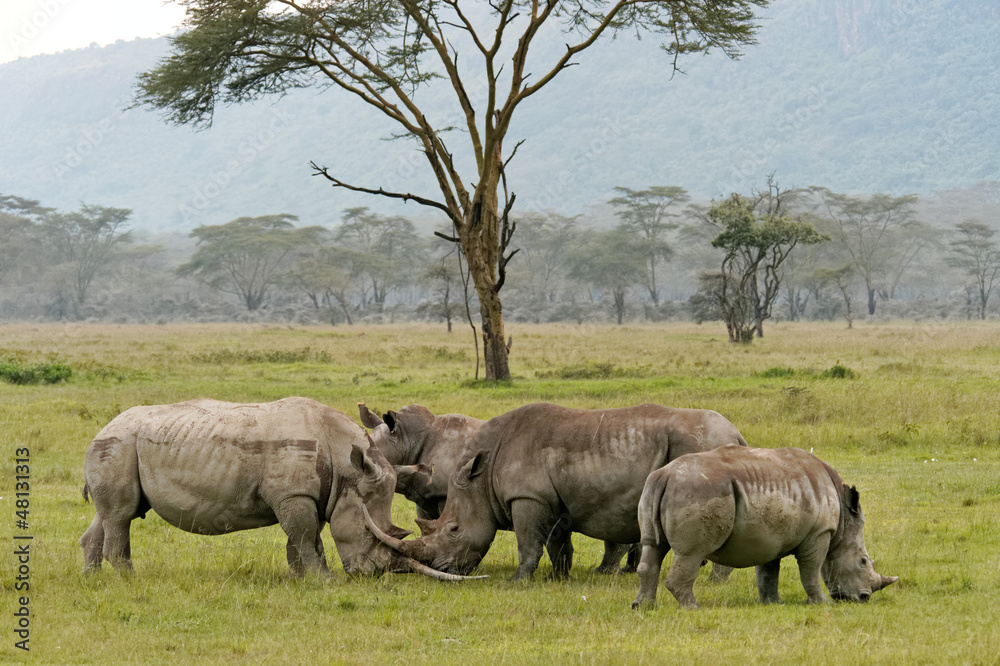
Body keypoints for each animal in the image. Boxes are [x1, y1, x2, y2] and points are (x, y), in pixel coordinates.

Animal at [80, 397, 478, 581]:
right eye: (370, 534)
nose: (374, 574)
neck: (348, 464)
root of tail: (101, 429)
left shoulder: (314, 495)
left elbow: (306, 538)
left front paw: (300, 578)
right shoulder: (295, 495)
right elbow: (303, 535)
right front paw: (323, 580)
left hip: (119, 447)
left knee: (112, 514)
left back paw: (93, 579)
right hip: (118, 445)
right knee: (120, 515)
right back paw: (129, 580)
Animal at [363, 402, 748, 581]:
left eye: (454, 530)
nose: (444, 568)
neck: (481, 476)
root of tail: (736, 433)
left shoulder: (527, 497)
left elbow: (528, 542)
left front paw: (518, 581)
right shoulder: (550, 499)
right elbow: (557, 543)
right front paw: (557, 578)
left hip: (701, 446)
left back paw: (712, 582)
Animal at [631, 445, 898, 609]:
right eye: (863, 561)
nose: (863, 598)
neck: (843, 525)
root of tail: (664, 476)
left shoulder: (770, 535)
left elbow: (768, 572)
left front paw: (773, 604)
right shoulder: (819, 532)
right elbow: (811, 570)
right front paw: (822, 603)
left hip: (657, 488)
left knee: (653, 547)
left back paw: (644, 608)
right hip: (698, 489)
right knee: (691, 554)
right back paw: (693, 608)